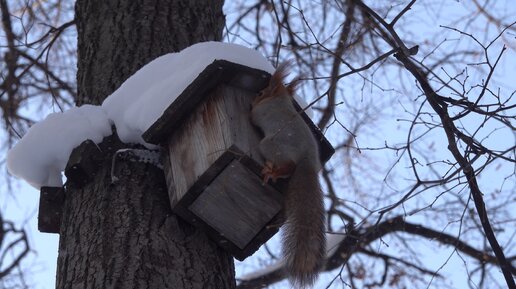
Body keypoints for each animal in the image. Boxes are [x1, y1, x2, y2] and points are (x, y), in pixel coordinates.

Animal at [251, 62, 326, 286]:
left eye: (261, 93)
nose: (253, 97)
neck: (279, 99)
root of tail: (307, 162)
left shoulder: (260, 111)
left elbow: (252, 115)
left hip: (270, 145)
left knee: (288, 166)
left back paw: (272, 171)